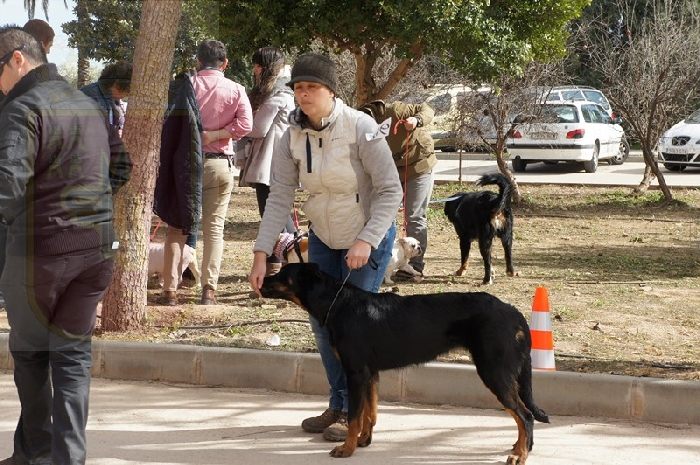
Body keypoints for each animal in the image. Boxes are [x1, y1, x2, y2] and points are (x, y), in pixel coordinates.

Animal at [260, 263, 549, 463]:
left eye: (283, 272)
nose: (261, 279)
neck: (337, 302)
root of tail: (514, 312)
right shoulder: (370, 374)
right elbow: (370, 413)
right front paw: (364, 441)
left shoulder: (356, 373)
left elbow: (354, 416)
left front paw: (347, 449)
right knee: (522, 416)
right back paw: (519, 447)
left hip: (494, 371)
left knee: (525, 415)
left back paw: (520, 455)